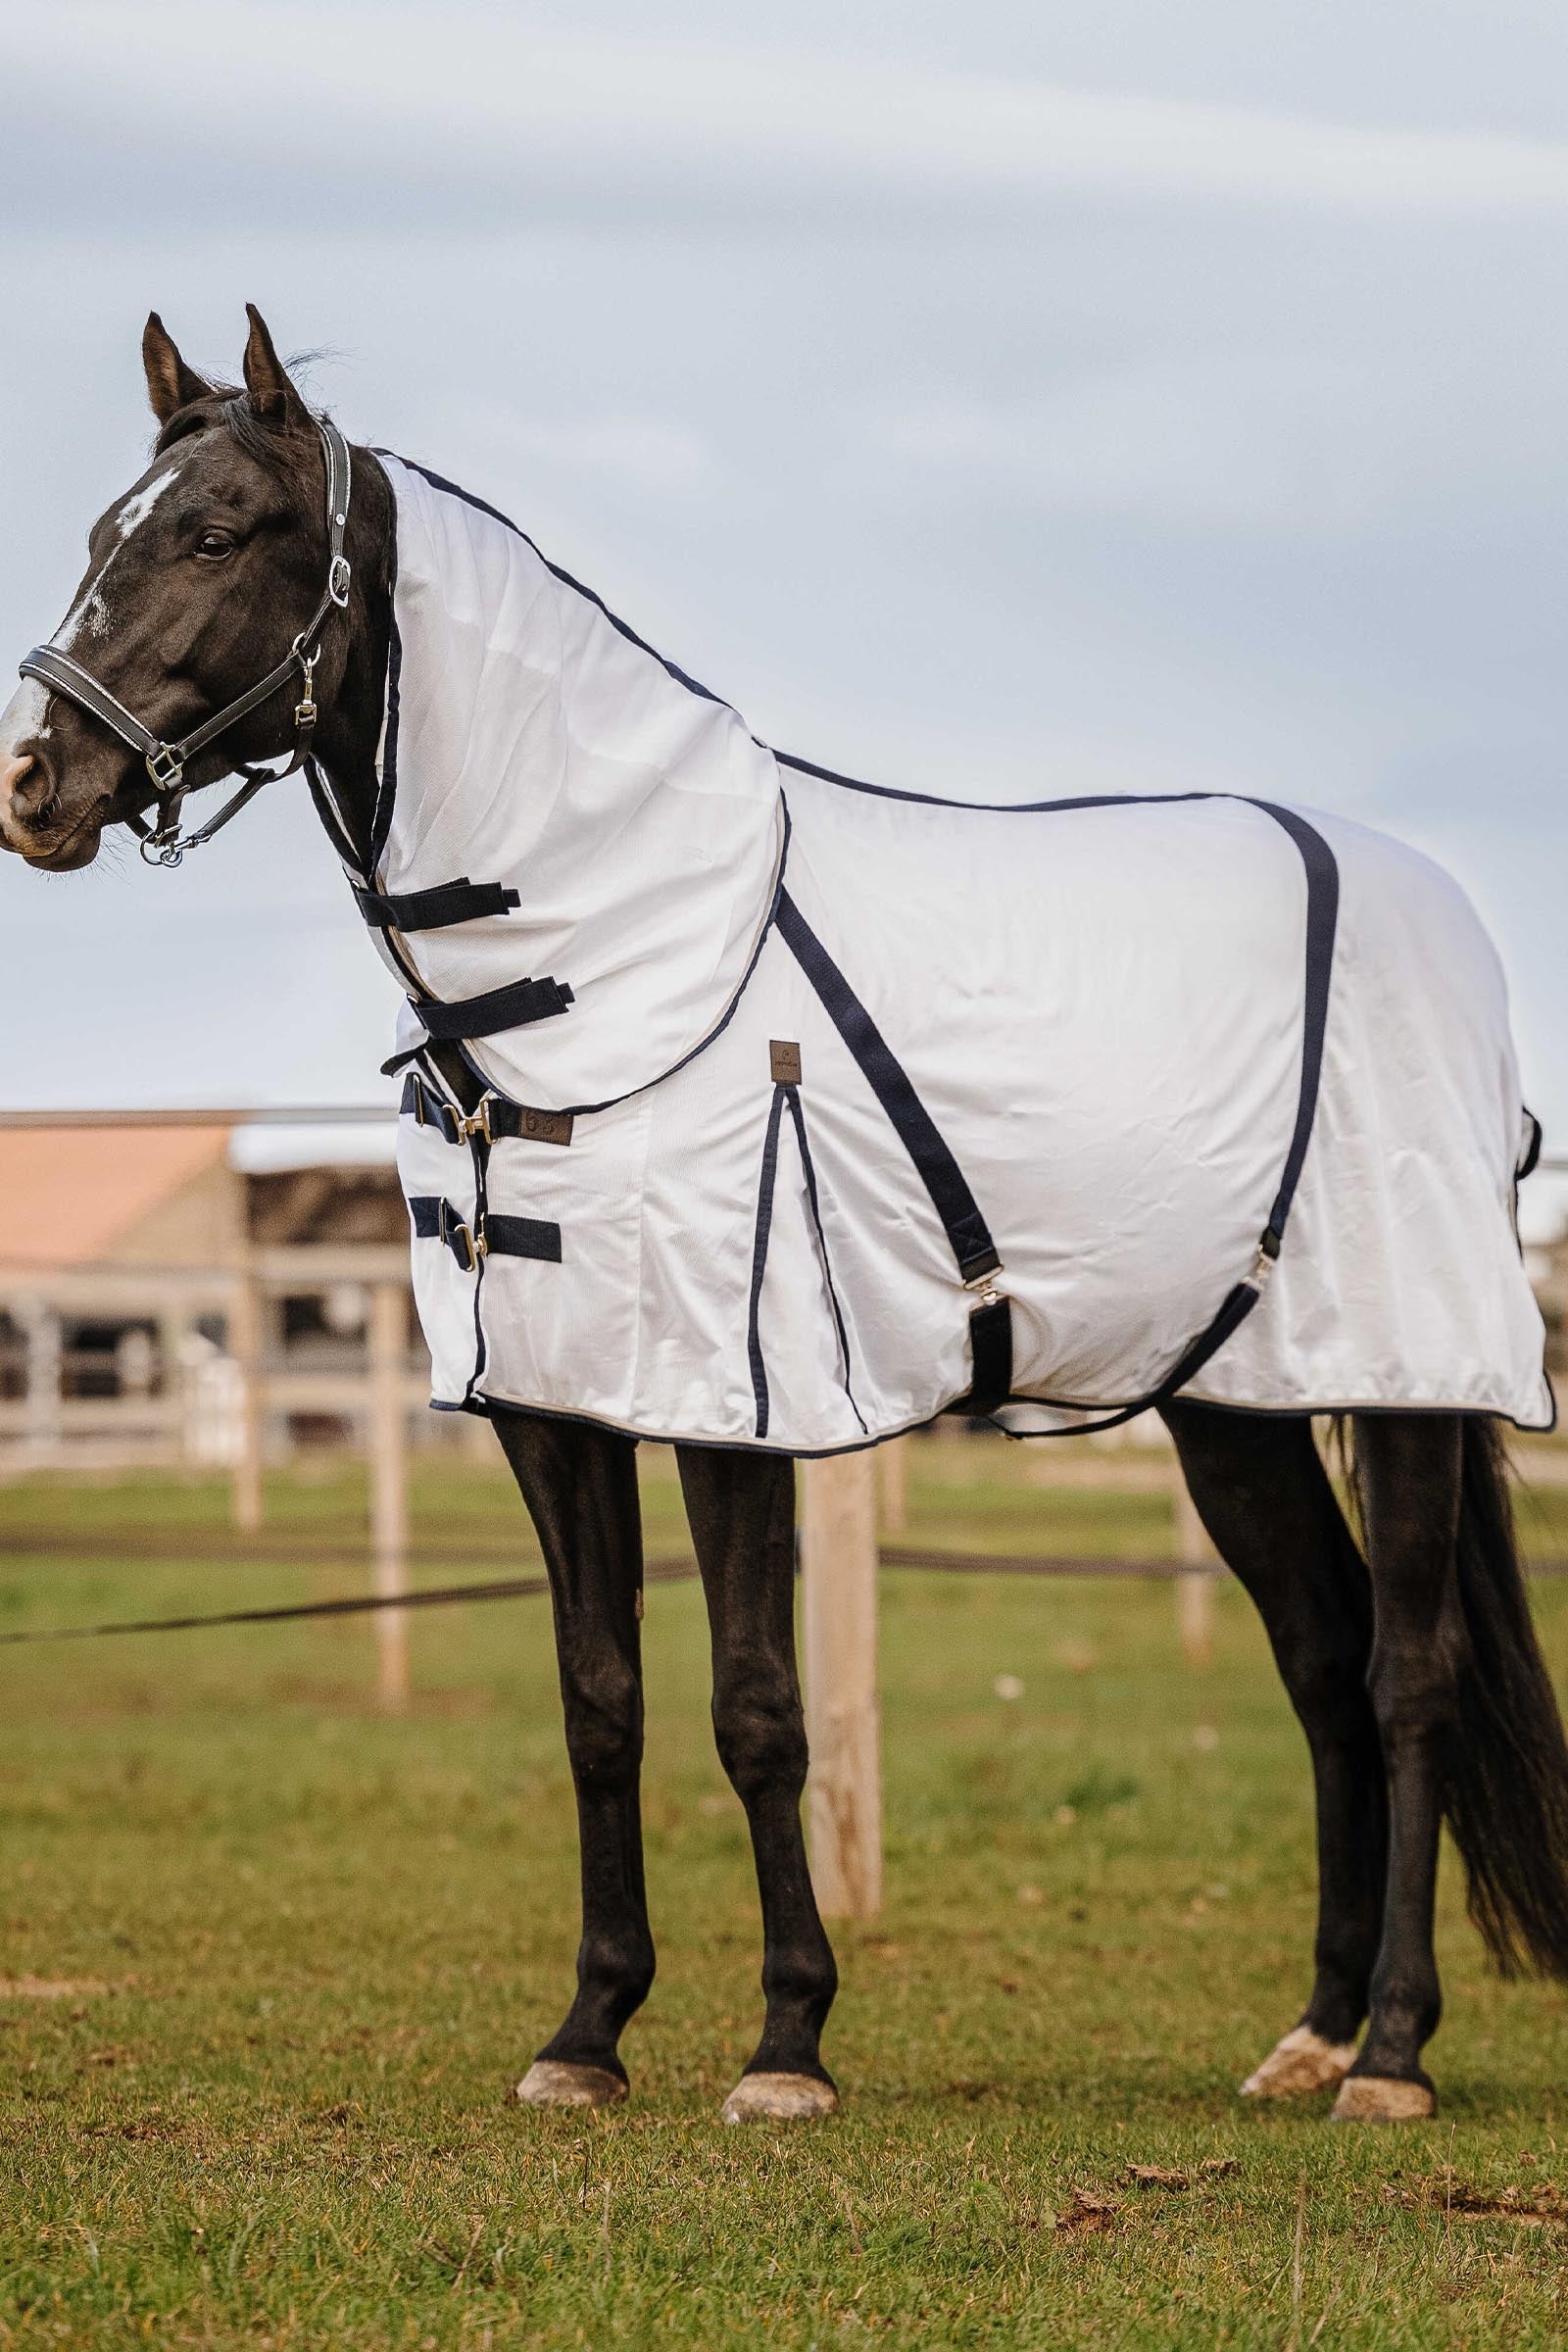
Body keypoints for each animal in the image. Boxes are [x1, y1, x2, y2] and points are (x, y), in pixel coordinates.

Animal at [3, 307, 1566, 2127]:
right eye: (104, 530)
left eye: (218, 532)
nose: (32, 783)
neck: (615, 960)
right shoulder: (553, 1403)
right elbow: (597, 1701)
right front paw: (588, 2031)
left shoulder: (724, 1396)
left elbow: (756, 1707)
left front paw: (787, 2045)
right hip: (1227, 1402)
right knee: (1320, 1665)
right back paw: (1310, 2032)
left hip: (1404, 1386)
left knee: (1407, 1680)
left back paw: (1389, 2052)